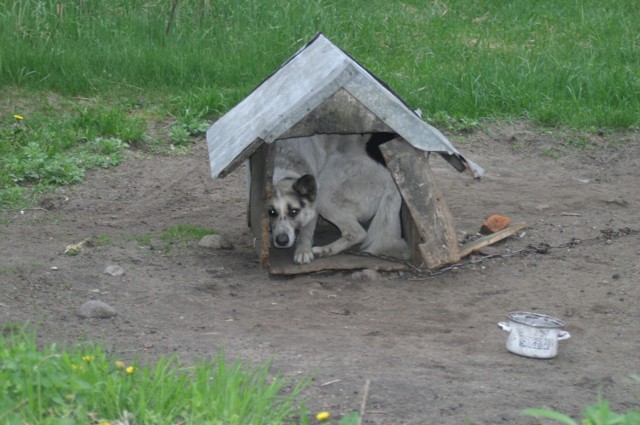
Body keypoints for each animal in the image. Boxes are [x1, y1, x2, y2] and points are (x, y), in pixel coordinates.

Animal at [268, 134, 410, 264]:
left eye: (293, 212)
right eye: (271, 213)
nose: (281, 241)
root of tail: (390, 179)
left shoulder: (312, 206)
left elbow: (306, 232)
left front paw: (303, 251)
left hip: (324, 192)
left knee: (358, 233)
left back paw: (323, 250)